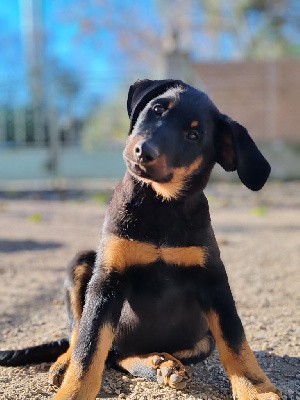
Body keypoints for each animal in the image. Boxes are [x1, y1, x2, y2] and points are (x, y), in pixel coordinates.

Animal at [0, 79, 282, 400]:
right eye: (157, 109)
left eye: (193, 135)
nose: (143, 151)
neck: (160, 203)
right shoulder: (107, 283)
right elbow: (88, 348)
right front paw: (73, 392)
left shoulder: (213, 280)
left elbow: (235, 341)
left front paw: (255, 390)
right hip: (82, 263)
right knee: (85, 339)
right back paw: (69, 363)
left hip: (201, 341)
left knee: (120, 355)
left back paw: (161, 364)